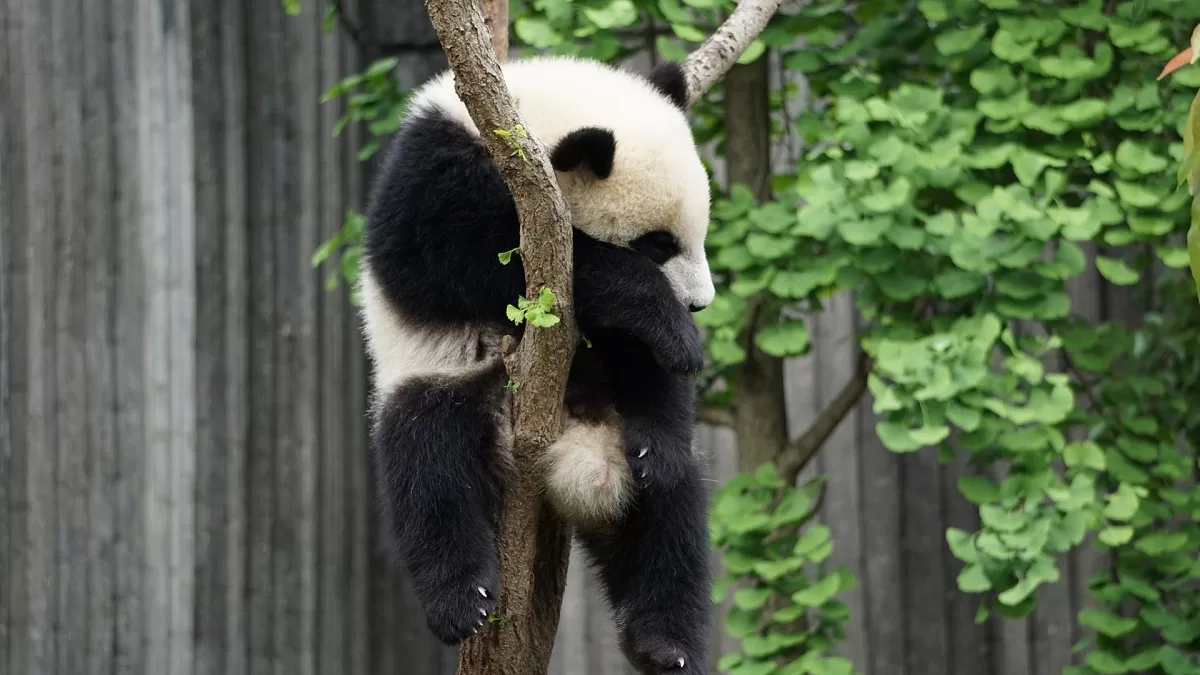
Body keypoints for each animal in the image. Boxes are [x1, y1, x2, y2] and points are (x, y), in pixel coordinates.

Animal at [359, 55, 715, 674]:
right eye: (657, 244)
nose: (699, 304)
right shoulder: (432, 177)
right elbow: (472, 255)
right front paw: (666, 320)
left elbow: (643, 363)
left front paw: (671, 357)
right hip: (442, 377)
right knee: (429, 460)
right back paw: (463, 600)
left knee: (674, 511)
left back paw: (665, 644)